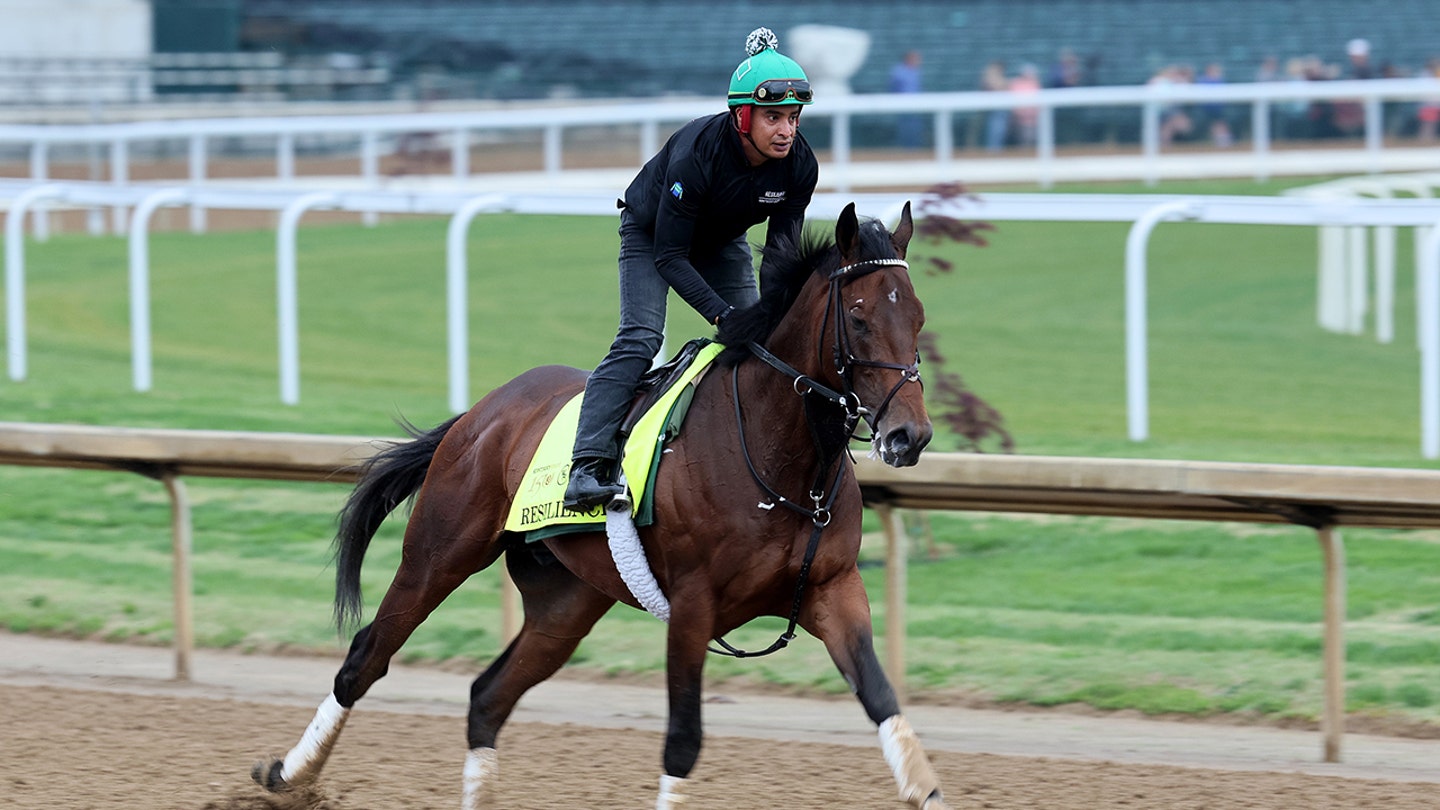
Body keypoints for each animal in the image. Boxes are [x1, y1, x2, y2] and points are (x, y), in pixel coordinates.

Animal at [253, 201, 950, 807]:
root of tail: (480, 412)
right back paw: (288, 773)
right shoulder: (693, 606)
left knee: (488, 696)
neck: (783, 459)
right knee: (366, 658)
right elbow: (683, 742)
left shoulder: (834, 589)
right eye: (858, 316)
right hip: (438, 554)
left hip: (566, 600)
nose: (909, 437)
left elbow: (884, 702)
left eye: (918, 315)